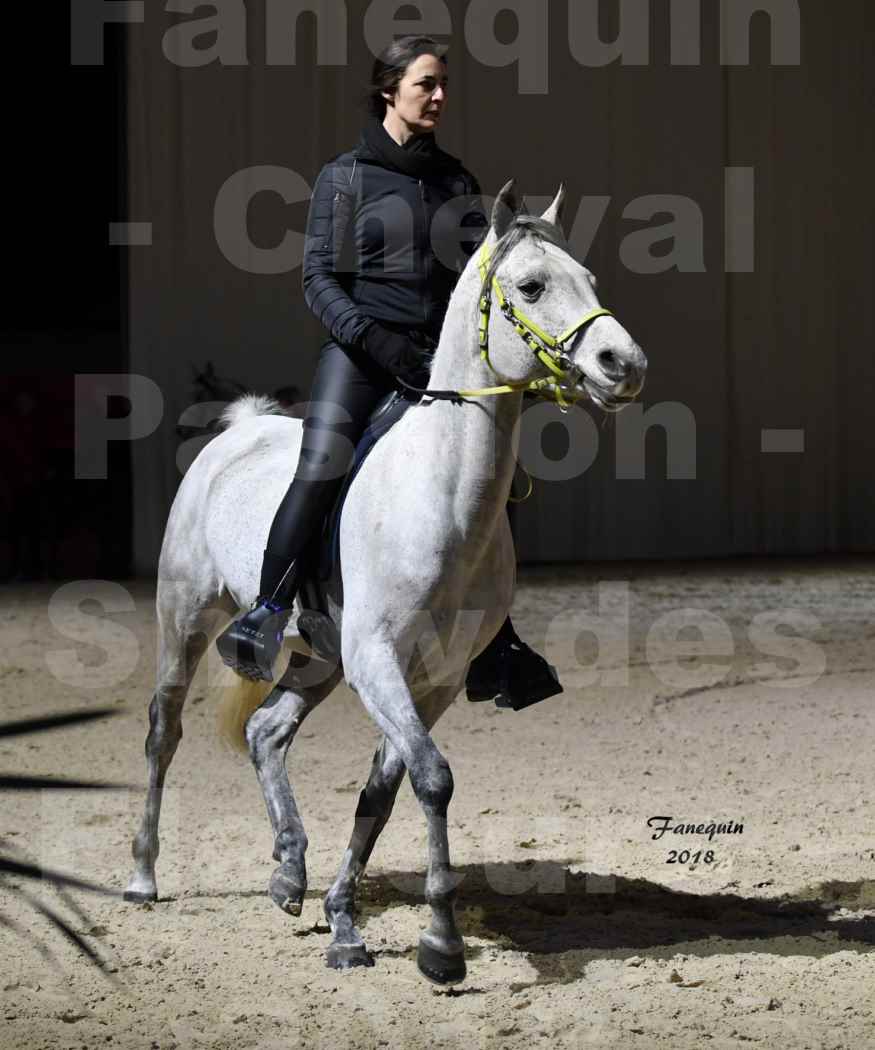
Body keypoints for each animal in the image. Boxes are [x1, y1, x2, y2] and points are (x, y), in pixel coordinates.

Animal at [123, 181, 647, 985]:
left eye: (589, 280)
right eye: (531, 286)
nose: (624, 362)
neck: (441, 495)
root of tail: (239, 429)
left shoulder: (432, 679)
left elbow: (386, 787)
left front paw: (345, 923)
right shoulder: (377, 659)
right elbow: (432, 779)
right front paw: (442, 947)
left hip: (320, 654)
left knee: (266, 731)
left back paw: (288, 872)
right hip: (187, 619)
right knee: (163, 730)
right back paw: (144, 876)